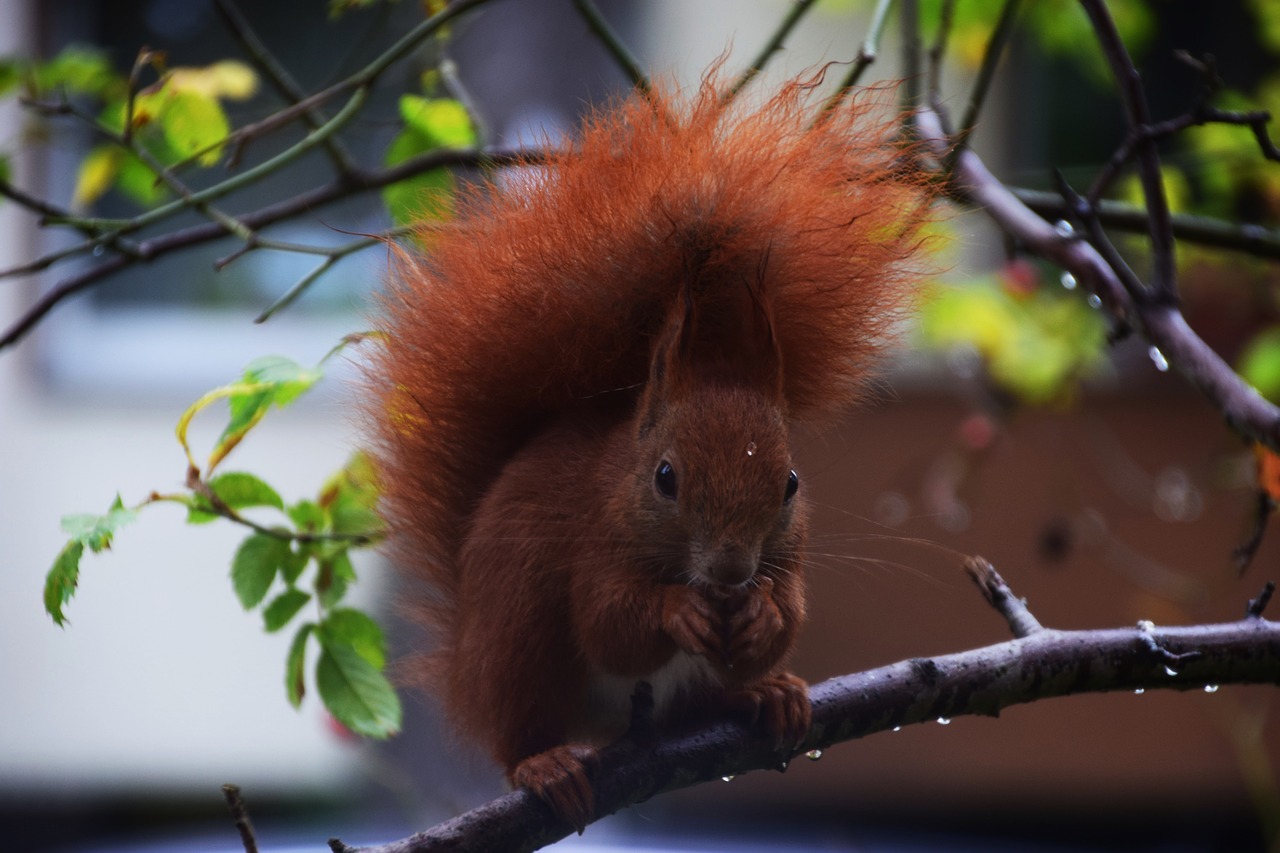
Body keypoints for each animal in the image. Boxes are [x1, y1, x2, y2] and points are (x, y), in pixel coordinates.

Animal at [368, 69, 931, 824]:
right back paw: (544, 764)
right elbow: (610, 623)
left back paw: (764, 692)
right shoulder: (595, 542)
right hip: (517, 641)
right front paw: (677, 610)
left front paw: (764, 615)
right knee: (518, 726)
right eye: (665, 477)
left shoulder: (790, 554)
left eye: (790, 483)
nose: (730, 571)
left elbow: (792, 611)